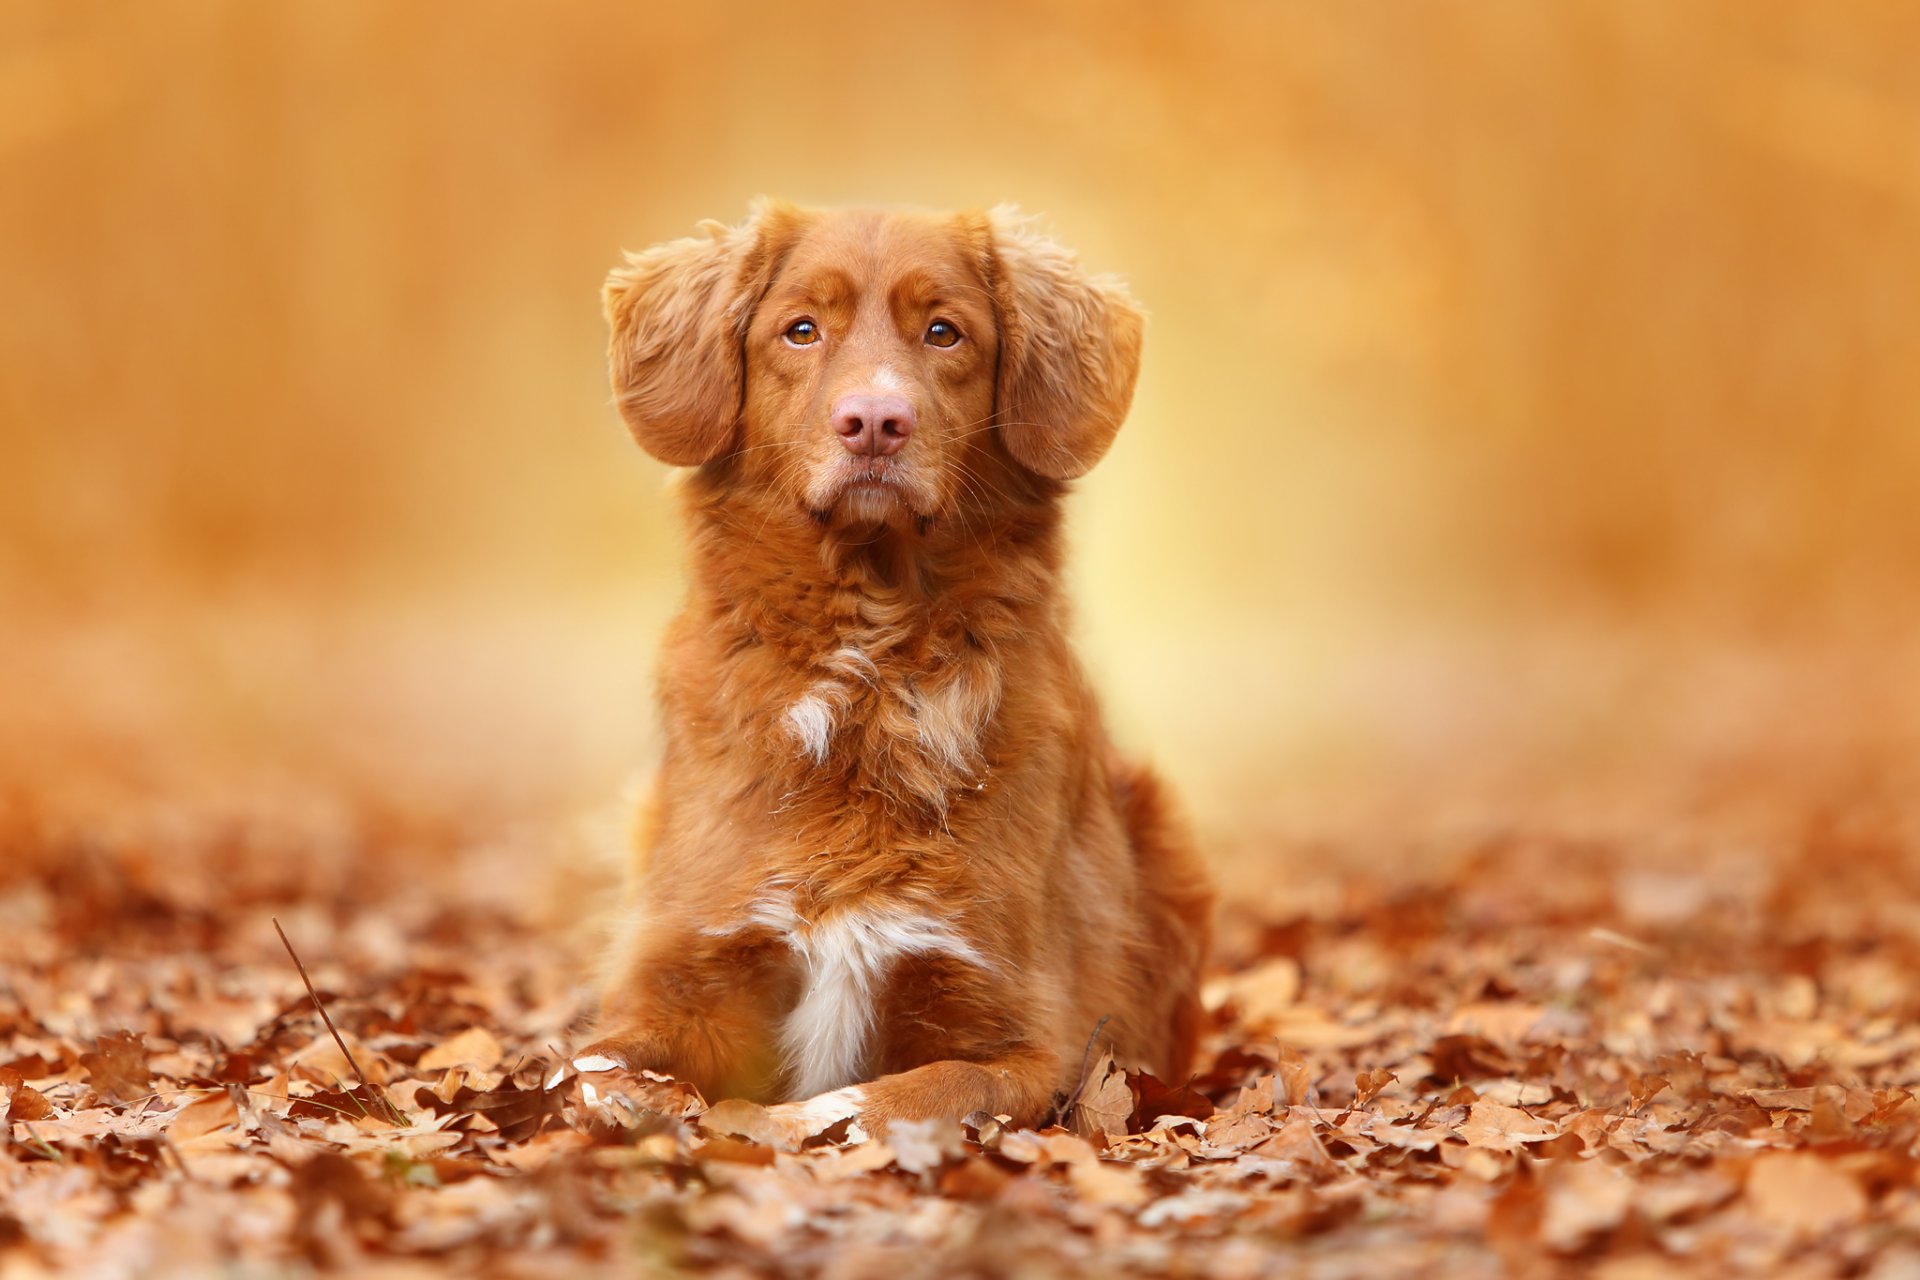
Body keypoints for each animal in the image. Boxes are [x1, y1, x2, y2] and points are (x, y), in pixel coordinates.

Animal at [572, 202, 1213, 1143]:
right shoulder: (687, 975)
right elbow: (595, 1070)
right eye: (801, 330)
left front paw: (761, 1128)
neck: (868, 673)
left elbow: (865, 1104)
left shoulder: (1025, 1045)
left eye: (944, 332)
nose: (875, 421)